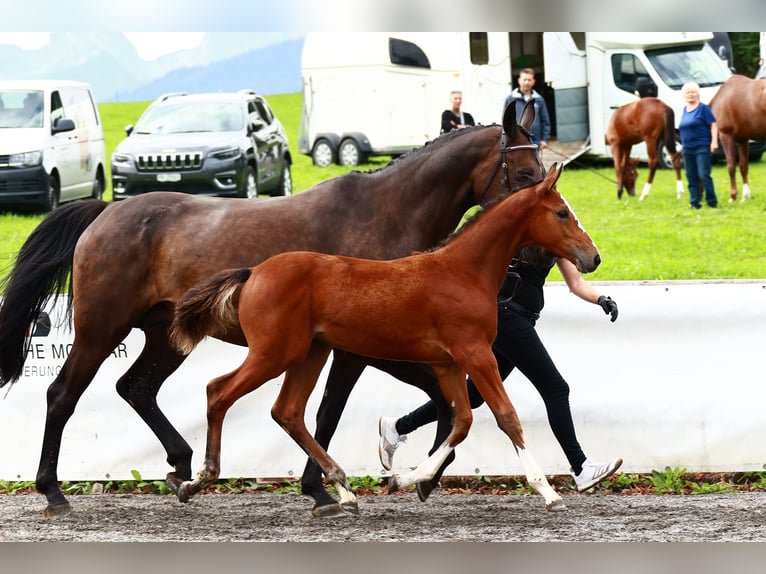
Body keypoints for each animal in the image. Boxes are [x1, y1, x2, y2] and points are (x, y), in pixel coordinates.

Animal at [0, 101, 544, 520]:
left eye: (545, 174)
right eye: (523, 174)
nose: (539, 255)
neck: (385, 214)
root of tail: (106, 210)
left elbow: (445, 399)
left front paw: (418, 474)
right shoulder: (358, 348)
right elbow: (329, 412)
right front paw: (327, 489)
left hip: (166, 335)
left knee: (136, 387)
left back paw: (180, 465)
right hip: (100, 329)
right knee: (62, 395)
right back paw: (53, 491)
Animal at [171, 164, 604, 516]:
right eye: (561, 212)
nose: (593, 257)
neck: (463, 272)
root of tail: (253, 273)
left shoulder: (448, 363)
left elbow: (461, 422)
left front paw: (404, 479)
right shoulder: (476, 354)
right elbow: (506, 417)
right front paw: (549, 493)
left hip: (310, 353)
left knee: (288, 412)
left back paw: (344, 491)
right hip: (275, 353)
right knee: (219, 391)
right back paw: (197, 481)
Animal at [708, 73, 766, 202]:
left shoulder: (726, 135)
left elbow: (731, 166)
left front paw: (733, 196)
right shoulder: (743, 139)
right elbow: (744, 166)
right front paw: (745, 196)